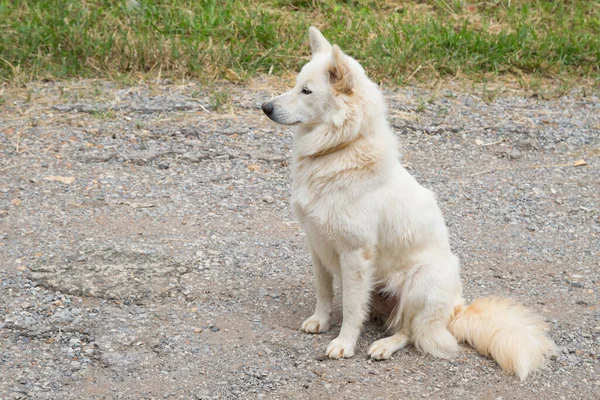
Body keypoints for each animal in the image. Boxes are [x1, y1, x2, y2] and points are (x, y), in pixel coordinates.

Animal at [262, 26, 556, 380]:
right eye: (296, 84)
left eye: (306, 91)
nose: (264, 107)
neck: (341, 148)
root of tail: (456, 310)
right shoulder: (317, 243)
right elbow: (324, 291)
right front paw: (320, 321)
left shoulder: (355, 254)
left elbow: (351, 307)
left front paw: (344, 344)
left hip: (420, 282)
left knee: (410, 331)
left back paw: (383, 346)